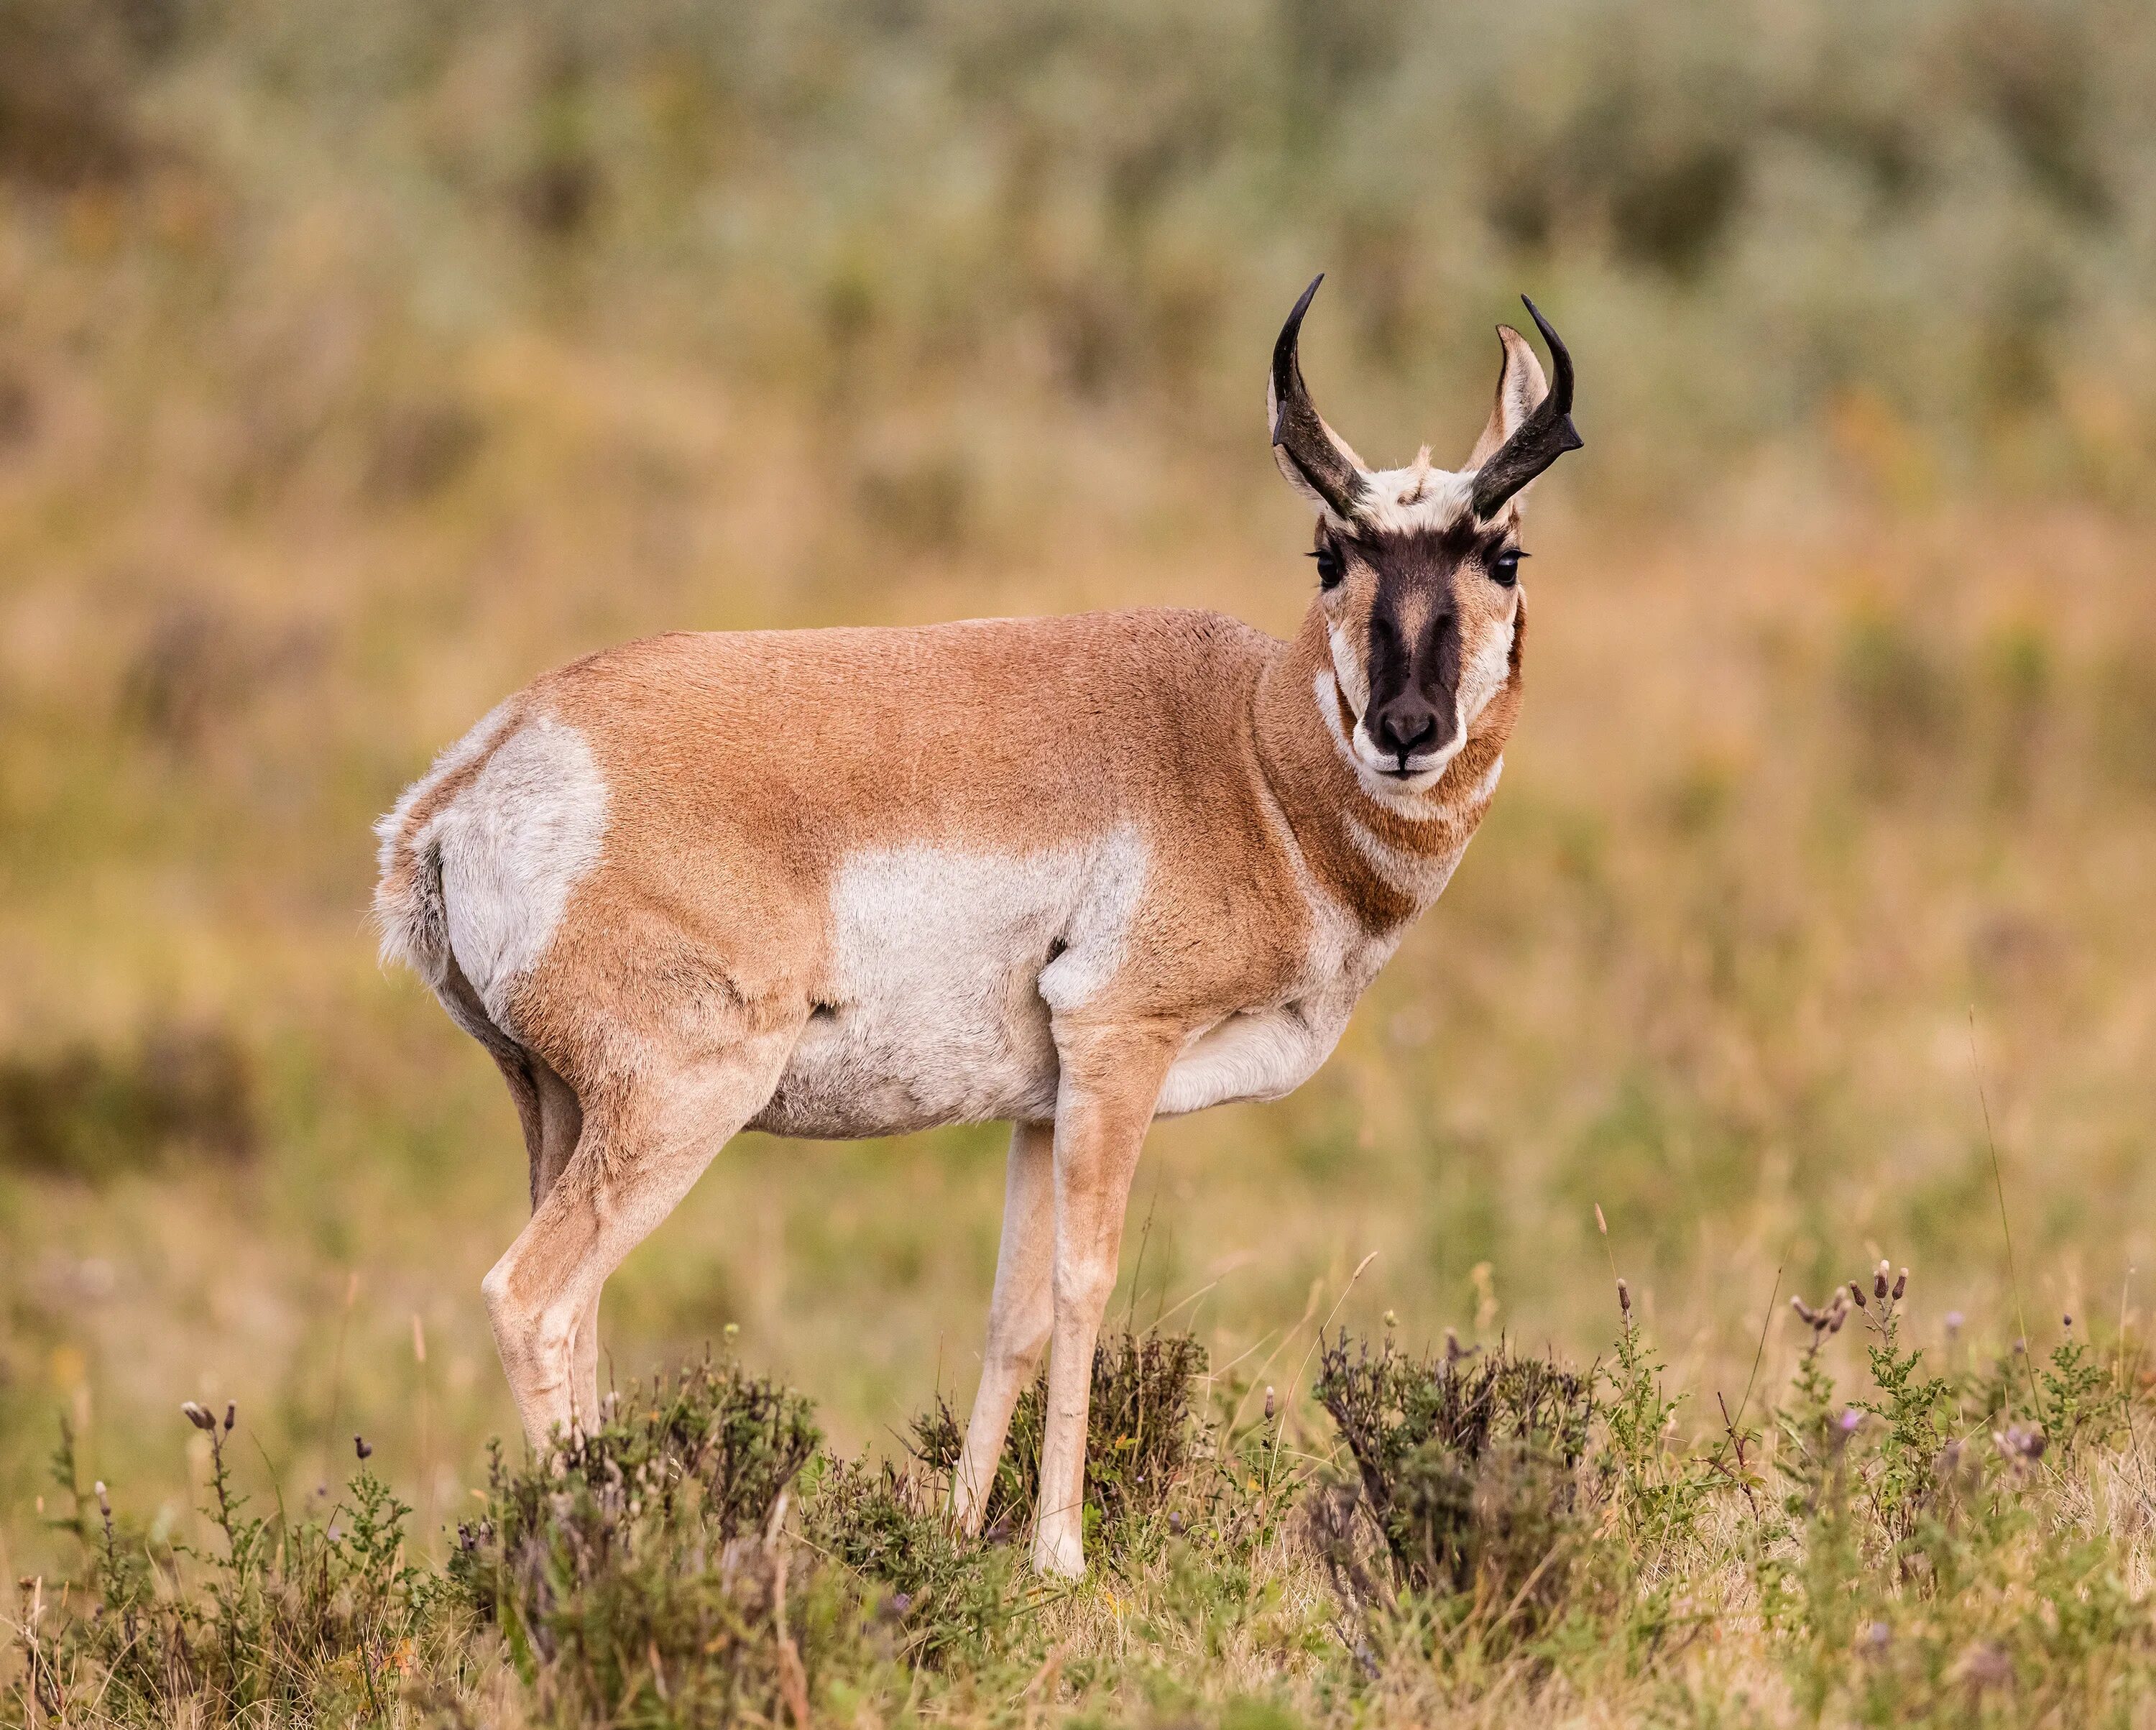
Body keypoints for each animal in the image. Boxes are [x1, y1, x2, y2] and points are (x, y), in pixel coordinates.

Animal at [375, 272, 1587, 1578]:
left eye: (1503, 550)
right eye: (1331, 553)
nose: (1408, 729)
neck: (1249, 751)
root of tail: (486, 767)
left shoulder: (1041, 1106)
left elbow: (1012, 1308)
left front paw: (959, 1534)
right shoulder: (1118, 1047)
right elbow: (1085, 1283)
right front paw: (1060, 1554)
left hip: (555, 1107)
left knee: (582, 1306)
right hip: (681, 1103)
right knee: (534, 1297)